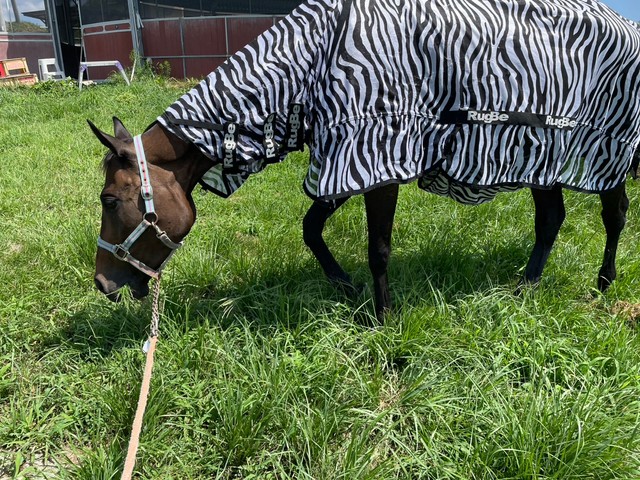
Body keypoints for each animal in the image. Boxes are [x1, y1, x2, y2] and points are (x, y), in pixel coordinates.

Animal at [91, 0, 640, 319]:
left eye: (110, 200)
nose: (102, 283)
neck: (309, 66)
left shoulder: (378, 159)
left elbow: (378, 248)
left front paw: (384, 315)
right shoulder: (344, 159)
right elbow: (311, 228)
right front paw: (345, 285)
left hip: (606, 150)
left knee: (614, 215)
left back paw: (603, 285)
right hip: (541, 156)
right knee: (551, 219)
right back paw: (527, 286)